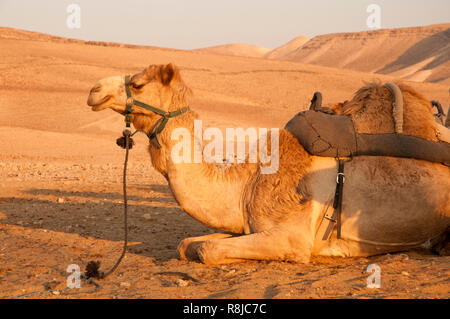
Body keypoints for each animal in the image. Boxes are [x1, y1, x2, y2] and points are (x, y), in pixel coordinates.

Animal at [87, 63, 450, 264]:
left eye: (137, 84)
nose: (93, 89)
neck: (249, 180)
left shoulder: (291, 238)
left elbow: (207, 250)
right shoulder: (248, 224)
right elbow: (188, 244)